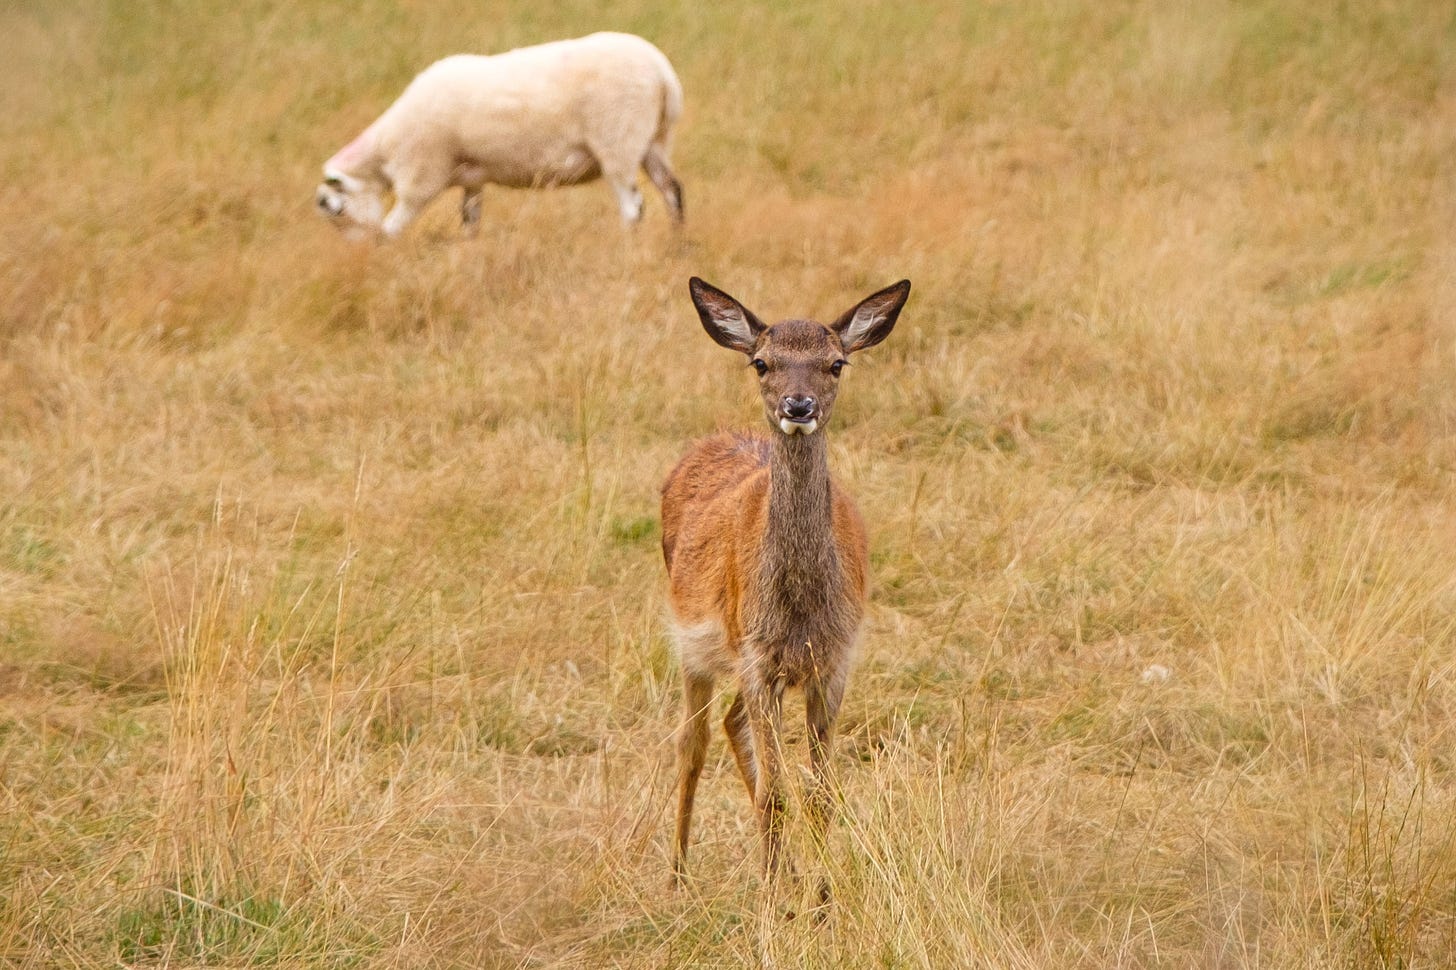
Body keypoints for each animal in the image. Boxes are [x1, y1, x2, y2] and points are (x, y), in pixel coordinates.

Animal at [661, 276, 911, 900]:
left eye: (837, 363)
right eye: (762, 362)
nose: (799, 406)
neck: (799, 611)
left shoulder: (834, 661)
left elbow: (820, 796)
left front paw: (821, 893)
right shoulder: (757, 656)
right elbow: (776, 795)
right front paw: (779, 899)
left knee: (729, 726)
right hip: (694, 643)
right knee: (691, 742)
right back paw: (677, 875)